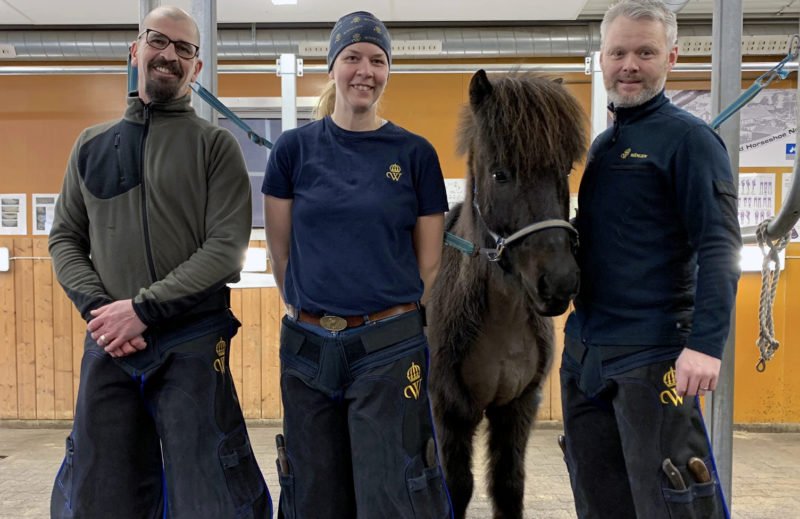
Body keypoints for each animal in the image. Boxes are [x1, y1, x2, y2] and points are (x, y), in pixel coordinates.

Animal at [428, 71, 584, 519]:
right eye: (500, 174)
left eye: (565, 169)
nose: (559, 281)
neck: (503, 319)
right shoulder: (450, 411)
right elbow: (456, 489)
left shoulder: (516, 409)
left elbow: (508, 487)